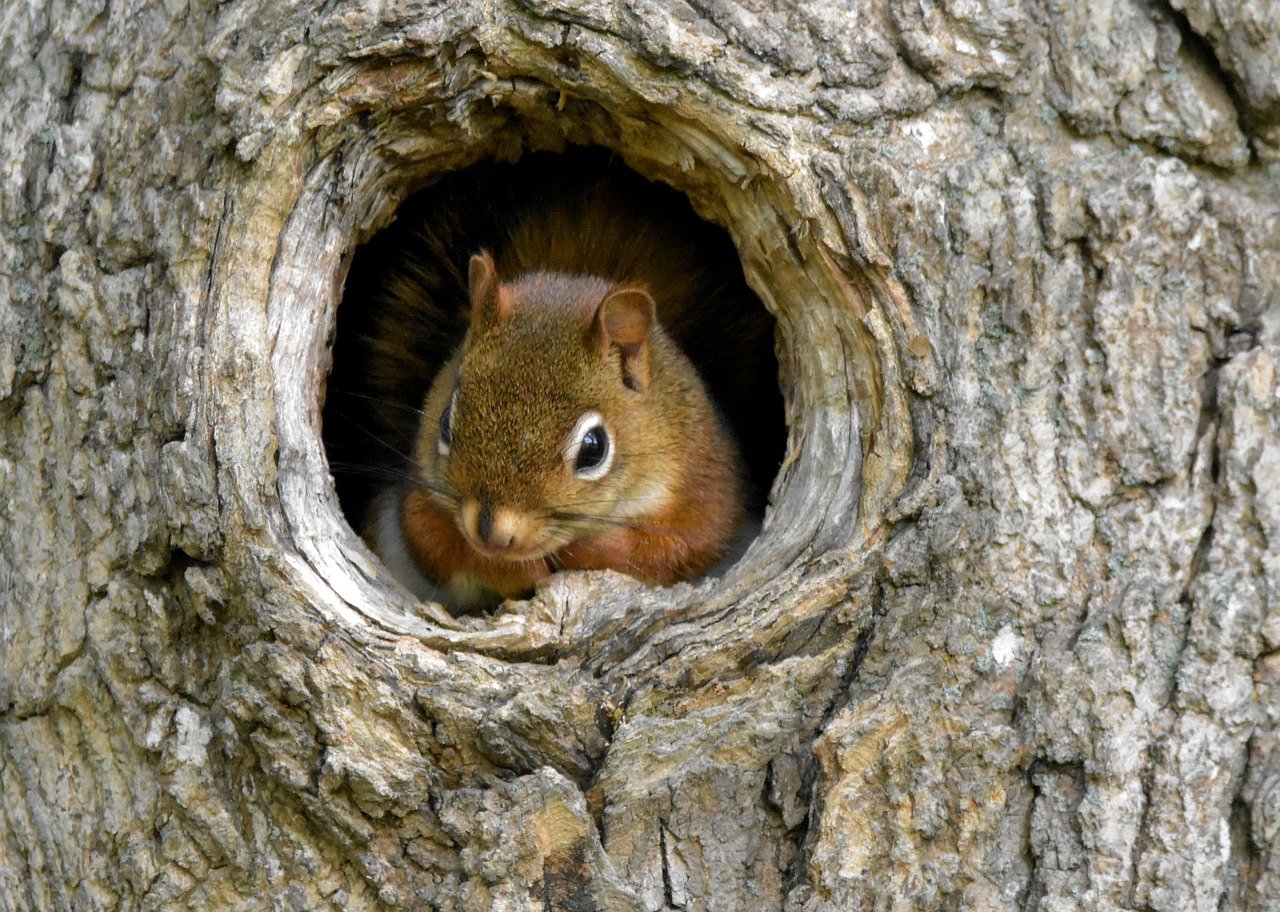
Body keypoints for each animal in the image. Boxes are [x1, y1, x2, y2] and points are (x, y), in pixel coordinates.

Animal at [327, 153, 778, 612]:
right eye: (445, 422)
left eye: (594, 448)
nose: (492, 533)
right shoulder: (420, 493)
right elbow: (430, 538)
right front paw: (511, 567)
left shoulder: (705, 488)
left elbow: (681, 550)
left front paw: (586, 551)